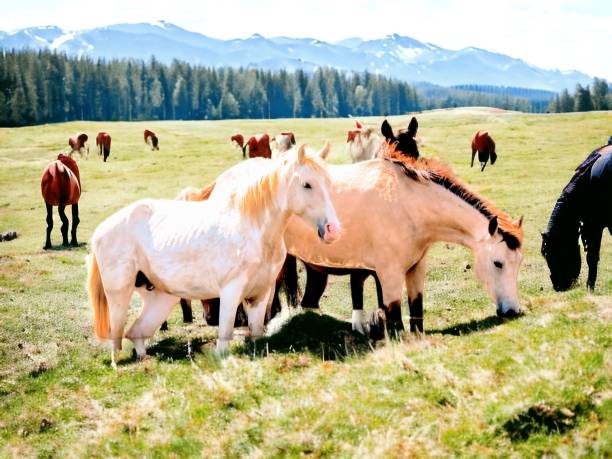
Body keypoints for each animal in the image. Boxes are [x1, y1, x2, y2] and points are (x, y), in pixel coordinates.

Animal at [88, 146, 342, 364]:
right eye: (307, 185)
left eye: (329, 183)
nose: (334, 230)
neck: (253, 228)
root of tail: (101, 230)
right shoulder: (230, 292)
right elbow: (225, 337)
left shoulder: (261, 294)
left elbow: (257, 333)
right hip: (119, 295)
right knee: (117, 337)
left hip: (161, 298)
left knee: (137, 332)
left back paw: (145, 359)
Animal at [280, 146, 524, 340]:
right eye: (498, 263)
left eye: (519, 263)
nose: (513, 311)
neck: (407, 204)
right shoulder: (388, 274)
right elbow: (395, 318)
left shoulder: (416, 268)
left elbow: (416, 309)